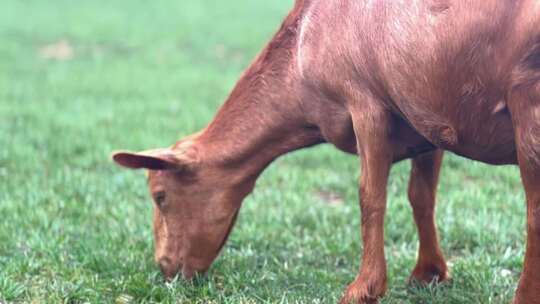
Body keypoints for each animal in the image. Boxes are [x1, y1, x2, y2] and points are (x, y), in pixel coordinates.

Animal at [113, 1, 540, 302]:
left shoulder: (365, 102)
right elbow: (421, 196)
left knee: (534, 211)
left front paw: (364, 289)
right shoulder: (428, 118)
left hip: (528, 101)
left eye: (160, 196)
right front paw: (428, 273)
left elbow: (370, 197)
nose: (166, 269)